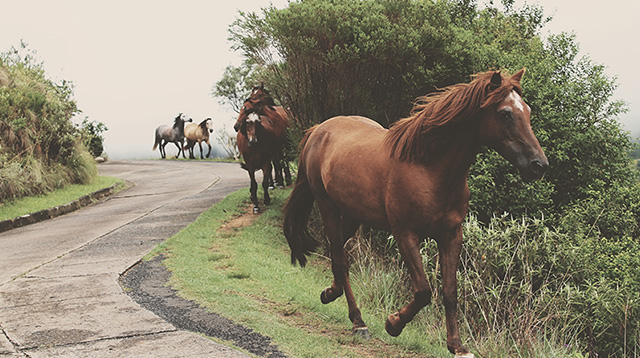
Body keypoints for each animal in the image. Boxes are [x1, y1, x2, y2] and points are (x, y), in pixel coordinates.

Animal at [282, 68, 548, 356]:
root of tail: (319, 129)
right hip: (328, 206)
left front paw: (457, 345)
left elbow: (450, 291)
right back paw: (358, 321)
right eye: (505, 113)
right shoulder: (406, 234)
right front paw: (393, 323)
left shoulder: (451, 235)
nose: (539, 165)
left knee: (337, 253)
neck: (429, 168)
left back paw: (330, 294)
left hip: (353, 214)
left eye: (528, 111)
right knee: (341, 261)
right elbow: (423, 291)